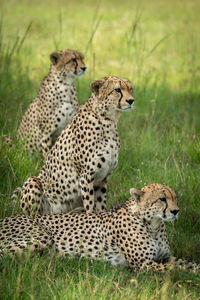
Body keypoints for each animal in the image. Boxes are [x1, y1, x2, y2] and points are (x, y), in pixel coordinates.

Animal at [0, 184, 199, 274]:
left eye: (175, 198)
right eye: (162, 199)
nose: (175, 211)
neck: (154, 225)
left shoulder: (164, 257)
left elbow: (186, 263)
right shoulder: (142, 264)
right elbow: (176, 269)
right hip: (40, 237)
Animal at [18, 75, 135, 216]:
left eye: (130, 89)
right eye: (117, 90)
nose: (131, 100)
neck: (108, 121)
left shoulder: (102, 178)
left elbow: (101, 206)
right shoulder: (86, 177)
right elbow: (90, 207)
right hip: (33, 181)